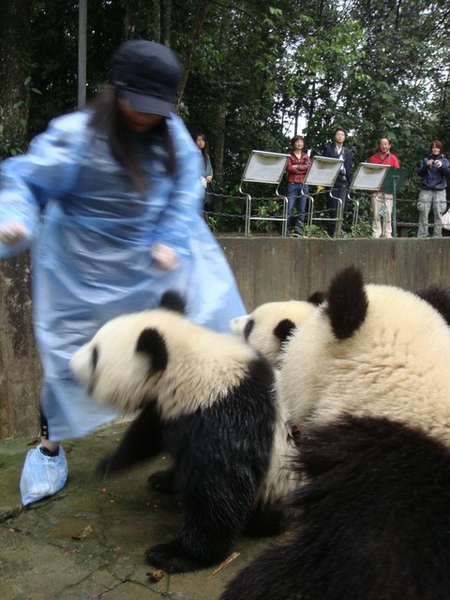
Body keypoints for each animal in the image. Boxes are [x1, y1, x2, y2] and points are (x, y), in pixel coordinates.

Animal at [70, 292, 298, 576]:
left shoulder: (226, 413)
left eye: (95, 356)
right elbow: (148, 434)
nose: (70, 363)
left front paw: (176, 555)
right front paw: (117, 465)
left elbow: (222, 488)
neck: (187, 362)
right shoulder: (170, 407)